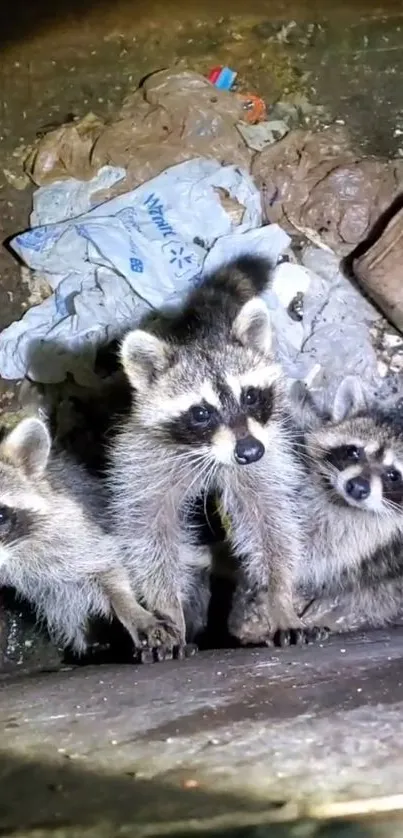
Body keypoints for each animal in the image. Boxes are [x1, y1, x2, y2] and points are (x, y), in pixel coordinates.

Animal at [109, 254, 320, 648]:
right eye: (201, 413)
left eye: (250, 396)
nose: (249, 451)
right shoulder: (145, 459)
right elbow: (151, 534)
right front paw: (168, 613)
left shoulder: (266, 452)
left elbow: (272, 525)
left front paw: (280, 600)